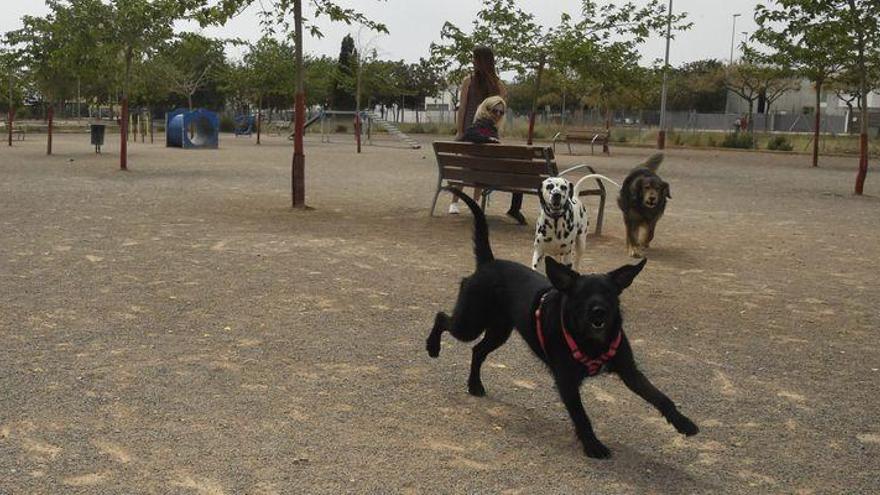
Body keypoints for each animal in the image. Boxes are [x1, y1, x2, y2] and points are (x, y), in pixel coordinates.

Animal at [422, 188, 696, 460]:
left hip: (499, 331)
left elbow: (659, 396)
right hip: (470, 323)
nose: (598, 312)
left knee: (477, 350)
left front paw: (683, 422)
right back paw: (432, 348)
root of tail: (489, 262)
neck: (591, 341)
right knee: (442, 318)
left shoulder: (629, 371)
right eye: (581, 295)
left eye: (609, 293)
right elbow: (582, 416)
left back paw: (474, 385)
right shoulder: (566, 381)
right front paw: (593, 445)